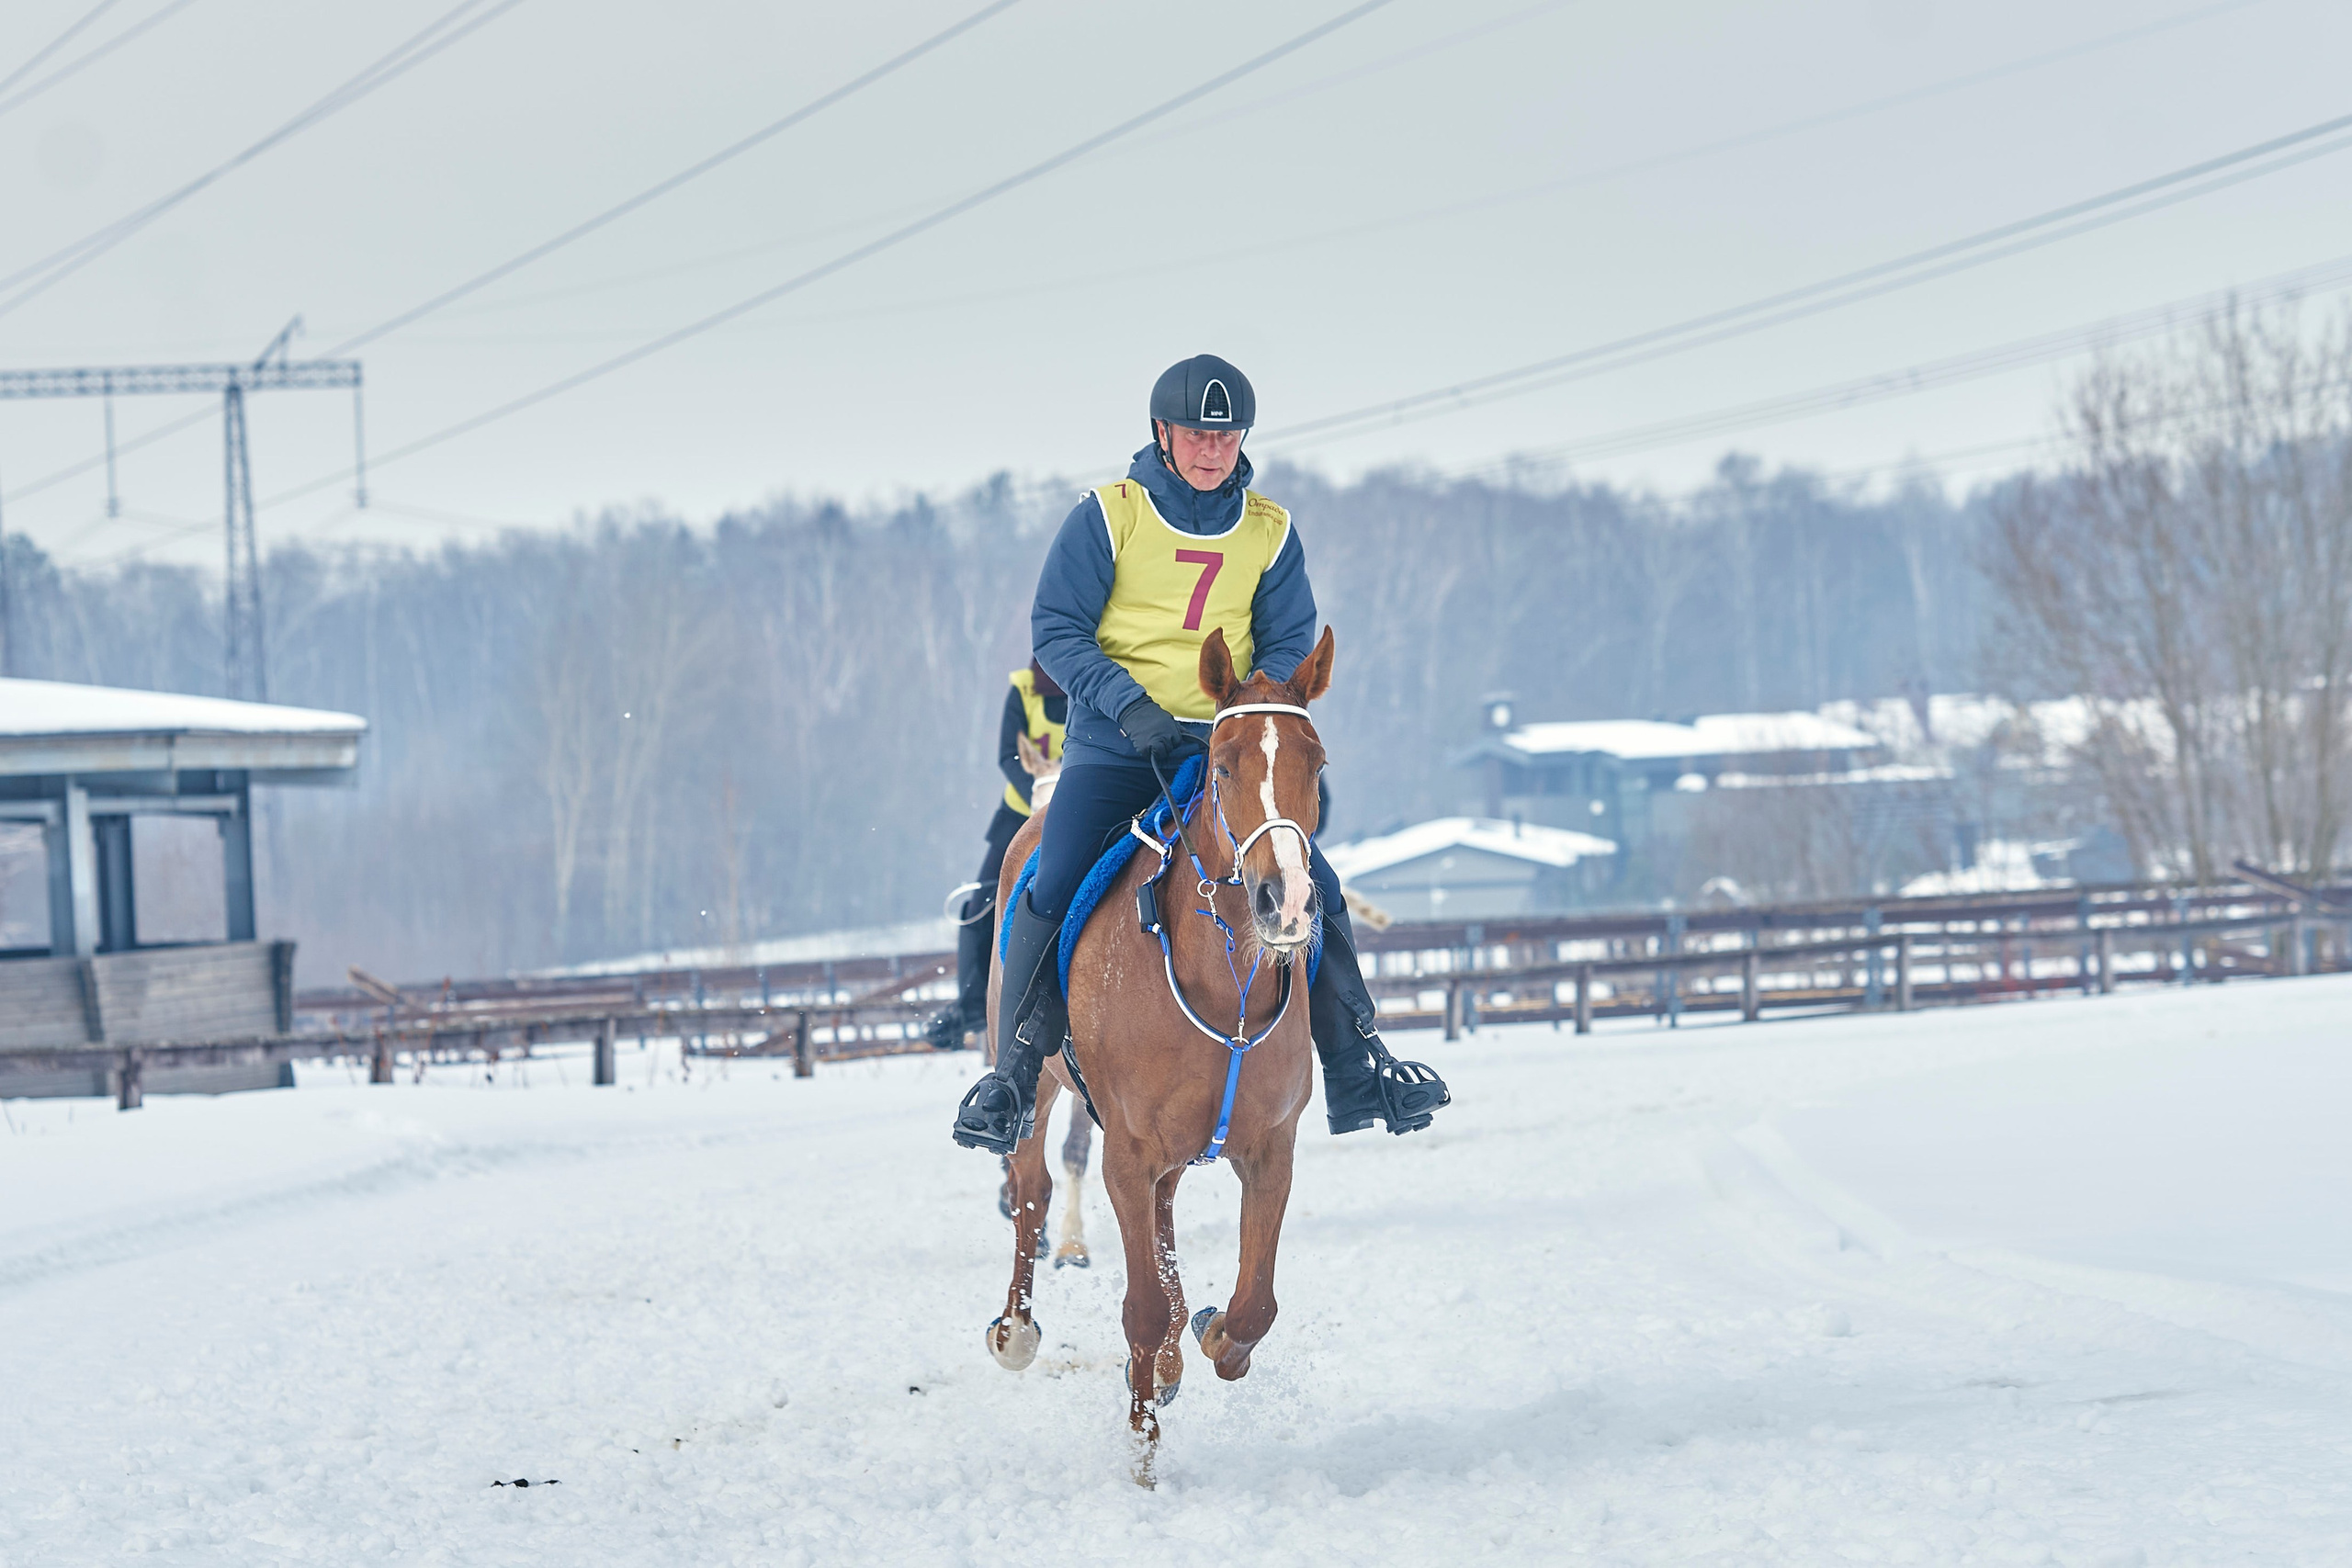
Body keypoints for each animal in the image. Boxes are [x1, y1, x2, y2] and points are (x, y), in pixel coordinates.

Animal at [981, 624, 1335, 1484]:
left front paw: (1208, 1335)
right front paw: (1143, 1452)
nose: (1286, 902)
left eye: (1316, 762)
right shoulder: (1128, 1152)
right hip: (1037, 1086)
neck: (1223, 982)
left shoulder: (1270, 1149)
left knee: (1165, 1217)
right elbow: (1139, 1304)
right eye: (1224, 764)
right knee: (1032, 1187)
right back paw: (1018, 1329)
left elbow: (1254, 1304)